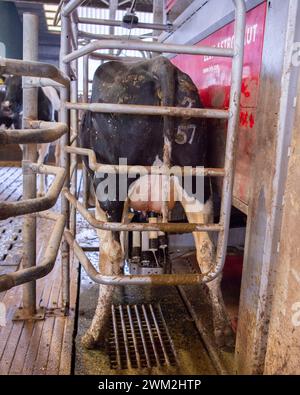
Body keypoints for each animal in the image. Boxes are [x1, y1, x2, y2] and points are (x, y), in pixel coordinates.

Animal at [79, 56, 232, 350]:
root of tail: (160, 64)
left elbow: (109, 253)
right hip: (197, 184)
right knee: (207, 253)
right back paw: (221, 330)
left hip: (111, 186)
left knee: (113, 251)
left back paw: (94, 331)